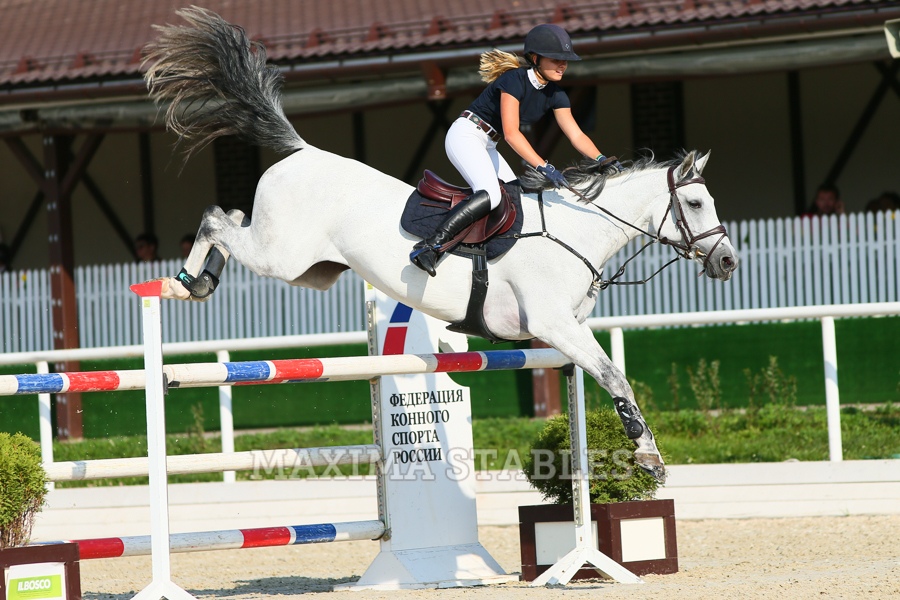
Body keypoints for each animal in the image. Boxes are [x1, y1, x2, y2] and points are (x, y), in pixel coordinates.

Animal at [144, 7, 740, 480]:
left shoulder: (568, 330)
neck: (575, 232)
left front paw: (643, 451)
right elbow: (617, 376)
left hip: (306, 268)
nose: (728, 261)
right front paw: (647, 455)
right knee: (215, 220)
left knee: (231, 217)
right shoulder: (553, 326)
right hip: (280, 255)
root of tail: (301, 150)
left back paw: (200, 279)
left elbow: (607, 373)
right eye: (694, 204)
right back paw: (183, 286)